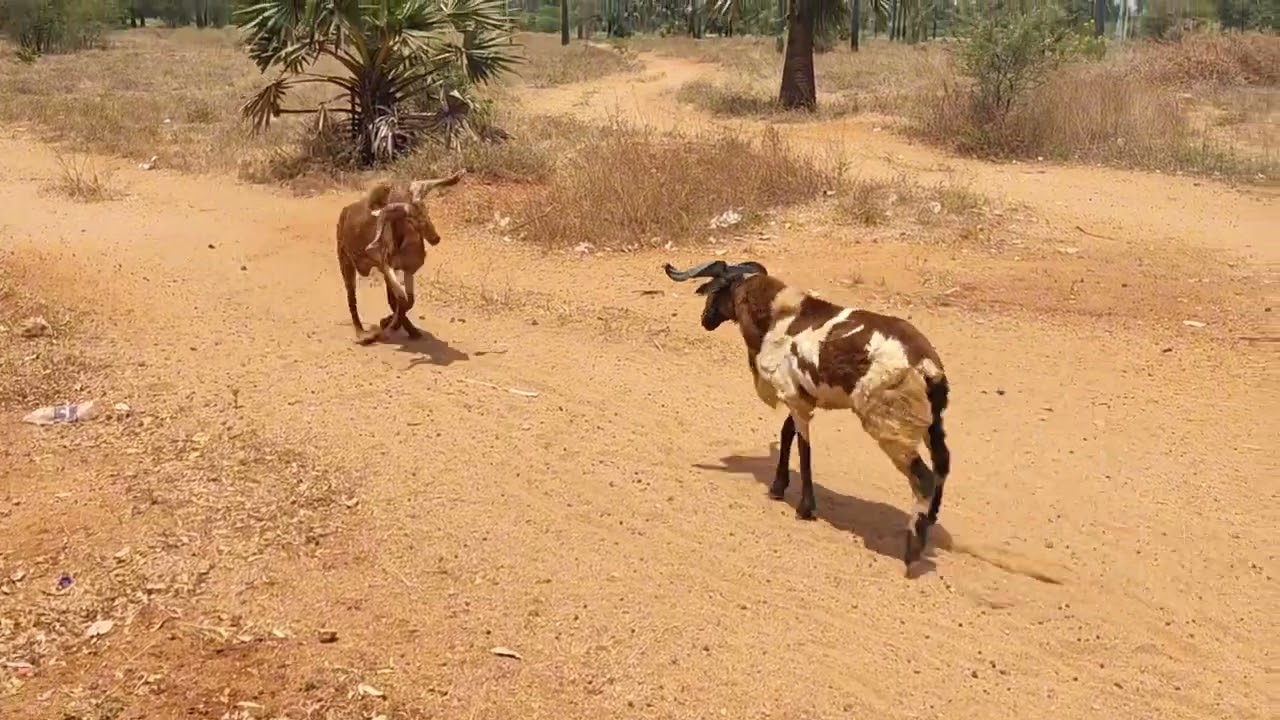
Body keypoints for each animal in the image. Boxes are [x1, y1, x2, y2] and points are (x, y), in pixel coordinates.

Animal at [335, 171, 465, 345]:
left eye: (426, 210)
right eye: (410, 218)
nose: (435, 238)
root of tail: (345, 211)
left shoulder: (408, 270)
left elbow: (407, 301)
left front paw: (392, 322)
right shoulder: (387, 267)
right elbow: (401, 300)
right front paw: (389, 324)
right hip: (345, 261)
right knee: (352, 298)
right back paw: (362, 334)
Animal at [665, 259, 951, 568]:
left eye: (716, 289)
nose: (705, 320)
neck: (775, 318)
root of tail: (926, 365)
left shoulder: (795, 398)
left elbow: (804, 448)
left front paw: (805, 507)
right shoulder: (798, 395)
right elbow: (787, 433)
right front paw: (778, 487)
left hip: (890, 423)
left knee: (923, 477)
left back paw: (913, 549)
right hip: (932, 421)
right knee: (942, 464)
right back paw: (930, 519)